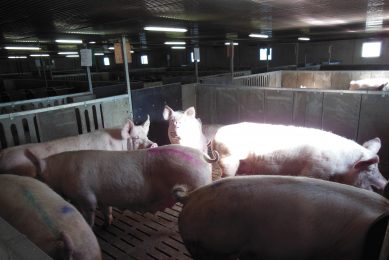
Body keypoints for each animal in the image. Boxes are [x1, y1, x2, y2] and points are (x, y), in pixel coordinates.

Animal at [28, 145, 215, 226]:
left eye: (38, 175)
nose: (34, 182)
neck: (60, 173)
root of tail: (203, 156)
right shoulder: (102, 197)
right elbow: (106, 209)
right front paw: (107, 224)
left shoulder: (86, 196)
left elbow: (89, 213)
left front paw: (91, 226)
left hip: (197, 183)